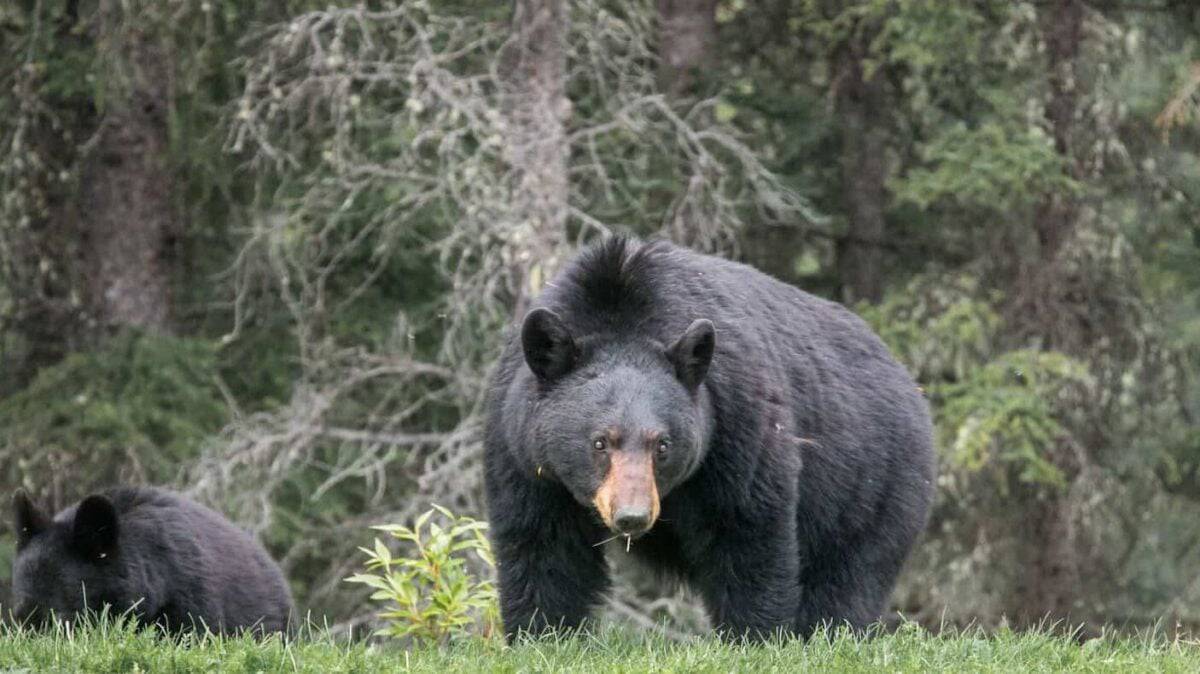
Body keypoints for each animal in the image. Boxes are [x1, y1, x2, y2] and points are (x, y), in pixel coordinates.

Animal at [483, 236, 935, 640]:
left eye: (662, 445)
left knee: (849, 577)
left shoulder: (736, 420)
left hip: (874, 485)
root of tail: (908, 382)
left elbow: (746, 530)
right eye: (600, 442)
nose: (632, 516)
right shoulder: (522, 447)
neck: (621, 307)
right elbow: (544, 543)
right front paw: (543, 634)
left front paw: (754, 637)